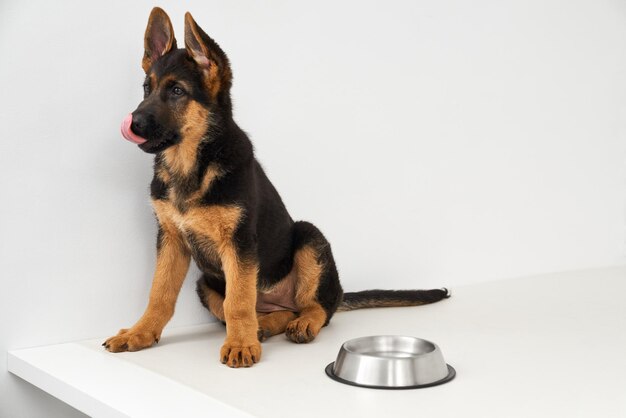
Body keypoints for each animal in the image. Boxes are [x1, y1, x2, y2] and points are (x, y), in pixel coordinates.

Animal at [106, 5, 448, 366]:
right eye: (147, 88)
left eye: (176, 91)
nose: (133, 124)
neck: (191, 163)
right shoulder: (171, 239)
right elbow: (160, 293)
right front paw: (140, 333)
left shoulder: (240, 243)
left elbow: (238, 301)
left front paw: (239, 344)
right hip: (204, 282)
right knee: (271, 311)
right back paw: (265, 326)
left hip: (310, 238)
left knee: (316, 307)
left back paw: (299, 324)